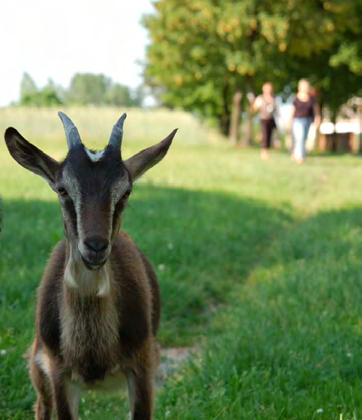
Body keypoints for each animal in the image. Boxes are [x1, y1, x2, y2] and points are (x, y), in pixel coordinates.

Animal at [4, 112, 177, 420]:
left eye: (126, 191)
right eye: (62, 189)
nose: (95, 246)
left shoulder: (144, 367)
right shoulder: (59, 374)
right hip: (37, 368)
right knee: (42, 406)